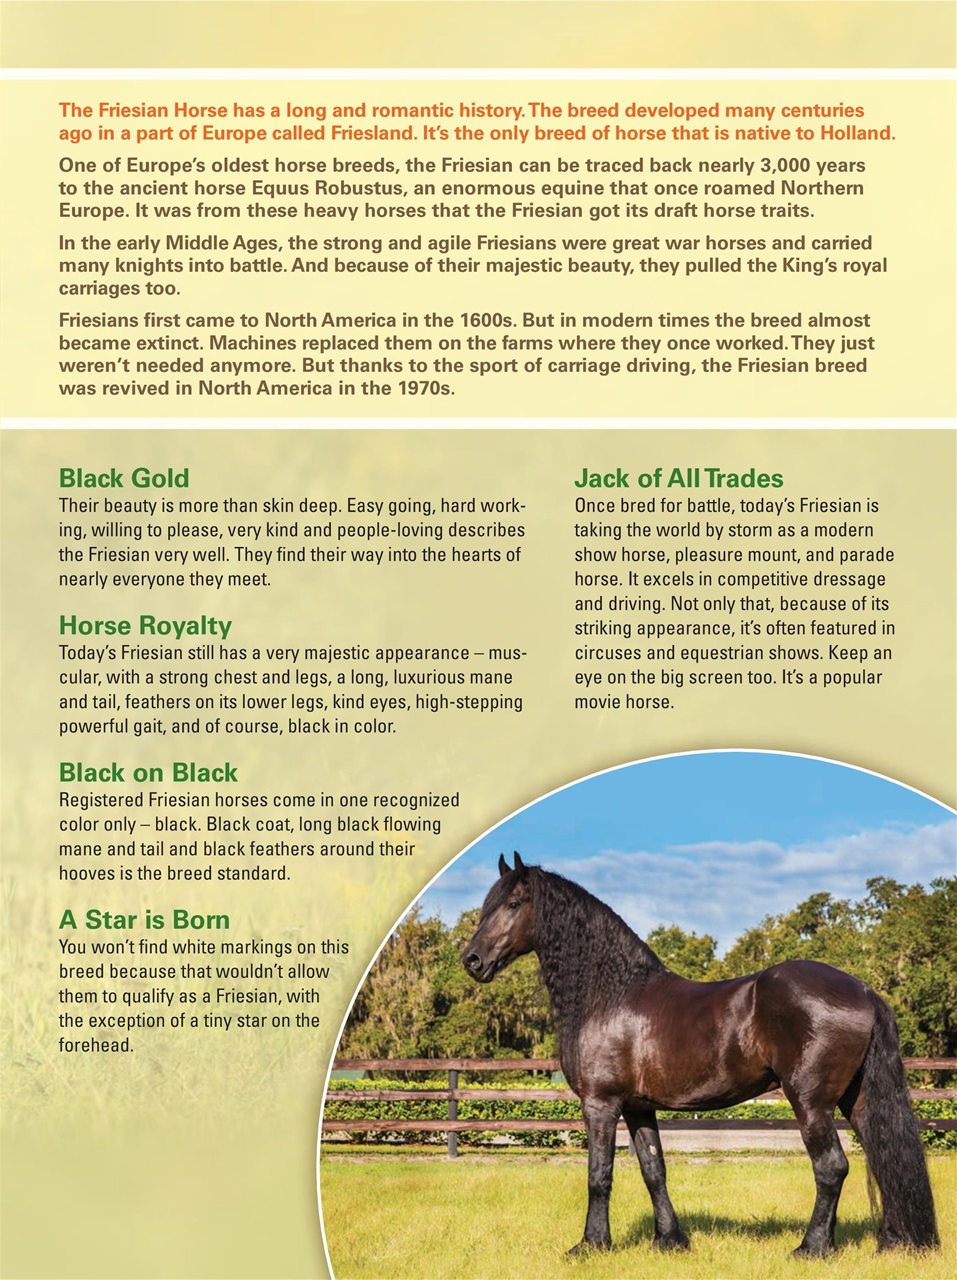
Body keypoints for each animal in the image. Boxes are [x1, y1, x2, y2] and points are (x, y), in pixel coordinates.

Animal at [462, 853, 939, 1258]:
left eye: (513, 903)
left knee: (832, 1167)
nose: (471, 960)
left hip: (811, 1102)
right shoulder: (638, 1107)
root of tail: (864, 990)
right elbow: (653, 1170)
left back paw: (812, 1248)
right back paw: (892, 1242)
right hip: (856, 1100)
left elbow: (599, 1175)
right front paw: (669, 1241)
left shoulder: (600, 1103)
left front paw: (591, 1245)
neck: (612, 992)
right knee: (883, 1160)